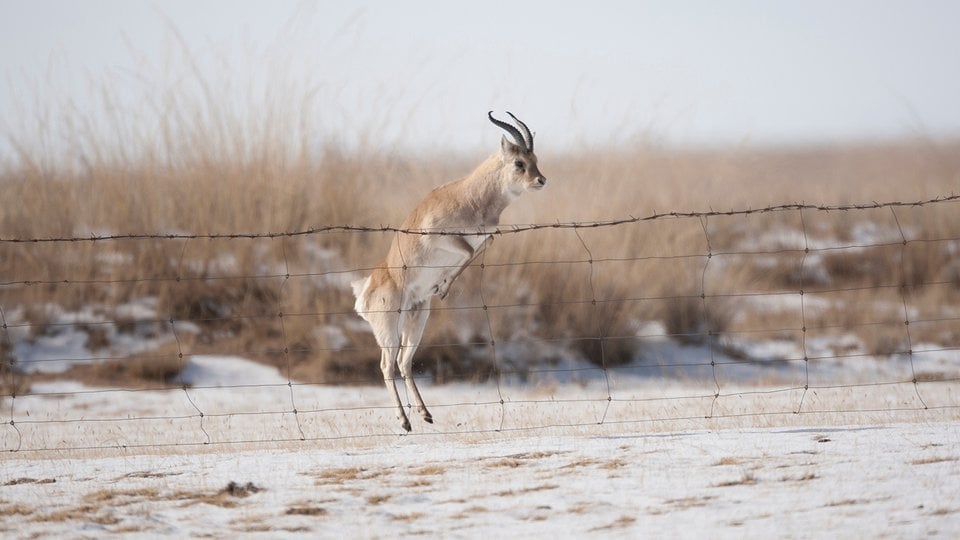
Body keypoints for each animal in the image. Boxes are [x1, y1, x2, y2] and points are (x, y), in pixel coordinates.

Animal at [352, 111, 547, 431]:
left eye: (535, 159)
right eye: (519, 162)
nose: (541, 180)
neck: (471, 197)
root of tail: (365, 293)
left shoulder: (485, 238)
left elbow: (477, 249)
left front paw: (440, 285)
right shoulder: (440, 238)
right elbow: (466, 253)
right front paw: (442, 286)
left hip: (417, 318)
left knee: (404, 362)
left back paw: (425, 414)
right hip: (389, 328)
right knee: (386, 366)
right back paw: (404, 421)